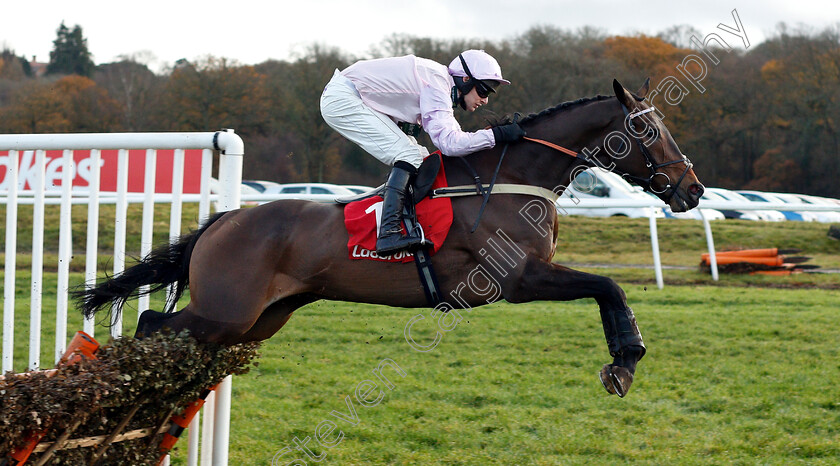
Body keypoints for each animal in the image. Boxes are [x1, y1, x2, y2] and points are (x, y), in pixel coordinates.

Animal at [72, 79, 704, 396]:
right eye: (649, 129)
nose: (692, 190)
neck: (512, 175)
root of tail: (226, 220)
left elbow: (607, 289)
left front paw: (625, 361)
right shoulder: (517, 279)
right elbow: (608, 287)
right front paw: (624, 362)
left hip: (260, 318)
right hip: (226, 311)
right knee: (151, 325)